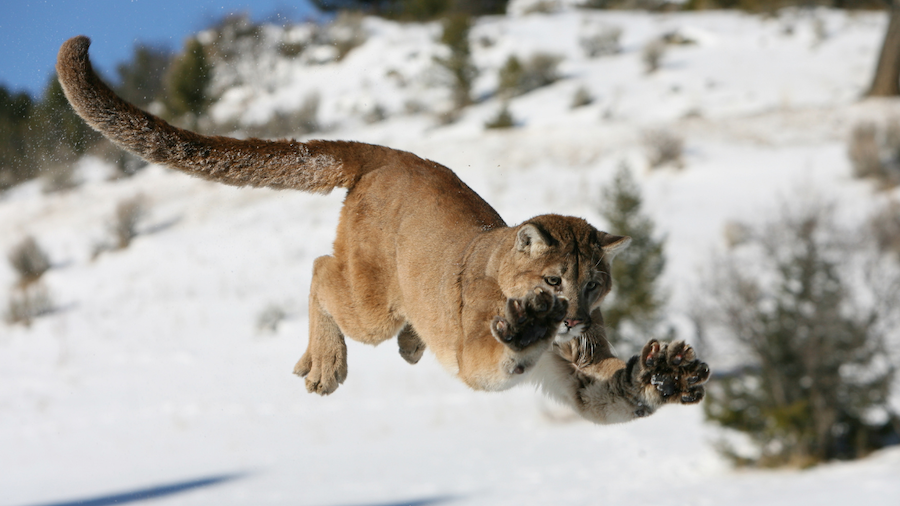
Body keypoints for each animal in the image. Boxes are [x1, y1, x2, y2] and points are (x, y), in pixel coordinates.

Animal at [56, 35, 709, 424]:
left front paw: (664, 373)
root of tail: (391, 154)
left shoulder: (577, 379)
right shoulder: (476, 357)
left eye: (595, 285)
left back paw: (402, 345)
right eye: (554, 282)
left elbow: (610, 389)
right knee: (322, 269)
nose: (573, 318)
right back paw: (326, 362)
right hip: (372, 301)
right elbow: (504, 352)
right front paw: (527, 326)